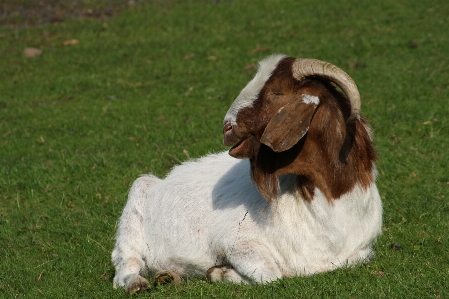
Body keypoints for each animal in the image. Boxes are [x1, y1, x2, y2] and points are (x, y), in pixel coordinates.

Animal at [111, 54, 382, 296]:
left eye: (277, 92)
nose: (227, 127)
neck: (332, 205)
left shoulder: (360, 253)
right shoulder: (235, 240)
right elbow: (272, 275)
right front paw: (221, 272)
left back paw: (168, 275)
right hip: (135, 205)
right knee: (125, 263)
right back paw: (137, 283)